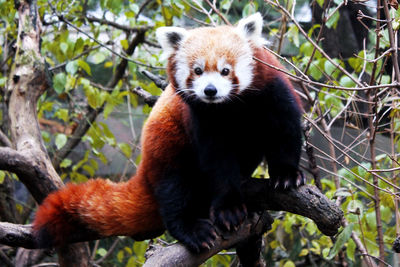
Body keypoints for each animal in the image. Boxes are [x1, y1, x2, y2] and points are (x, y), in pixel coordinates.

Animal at [33, 12, 304, 258]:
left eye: (226, 70)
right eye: (197, 70)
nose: (210, 90)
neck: (230, 106)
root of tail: (144, 170)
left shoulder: (271, 90)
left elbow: (285, 130)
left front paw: (286, 174)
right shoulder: (200, 118)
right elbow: (217, 162)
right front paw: (228, 209)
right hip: (166, 144)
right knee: (174, 187)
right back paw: (192, 228)